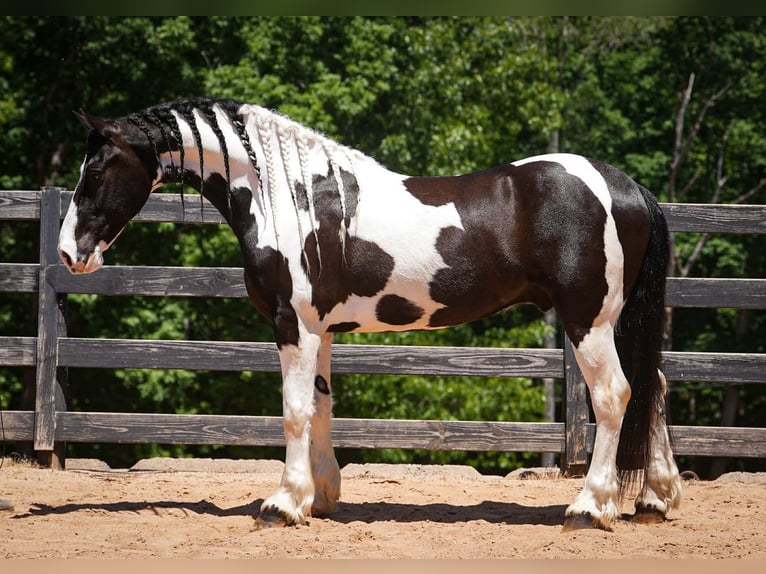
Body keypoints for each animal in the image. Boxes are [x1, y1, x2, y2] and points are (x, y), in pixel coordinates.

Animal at [57, 97, 682, 531]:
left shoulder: (293, 324)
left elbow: (293, 412)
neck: (292, 198)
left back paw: (589, 508)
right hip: (616, 322)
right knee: (653, 386)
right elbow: (320, 407)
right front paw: (319, 497)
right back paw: (656, 498)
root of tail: (624, 186)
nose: (68, 254)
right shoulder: (321, 330)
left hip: (589, 322)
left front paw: (282, 504)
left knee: (616, 396)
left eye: (96, 171)